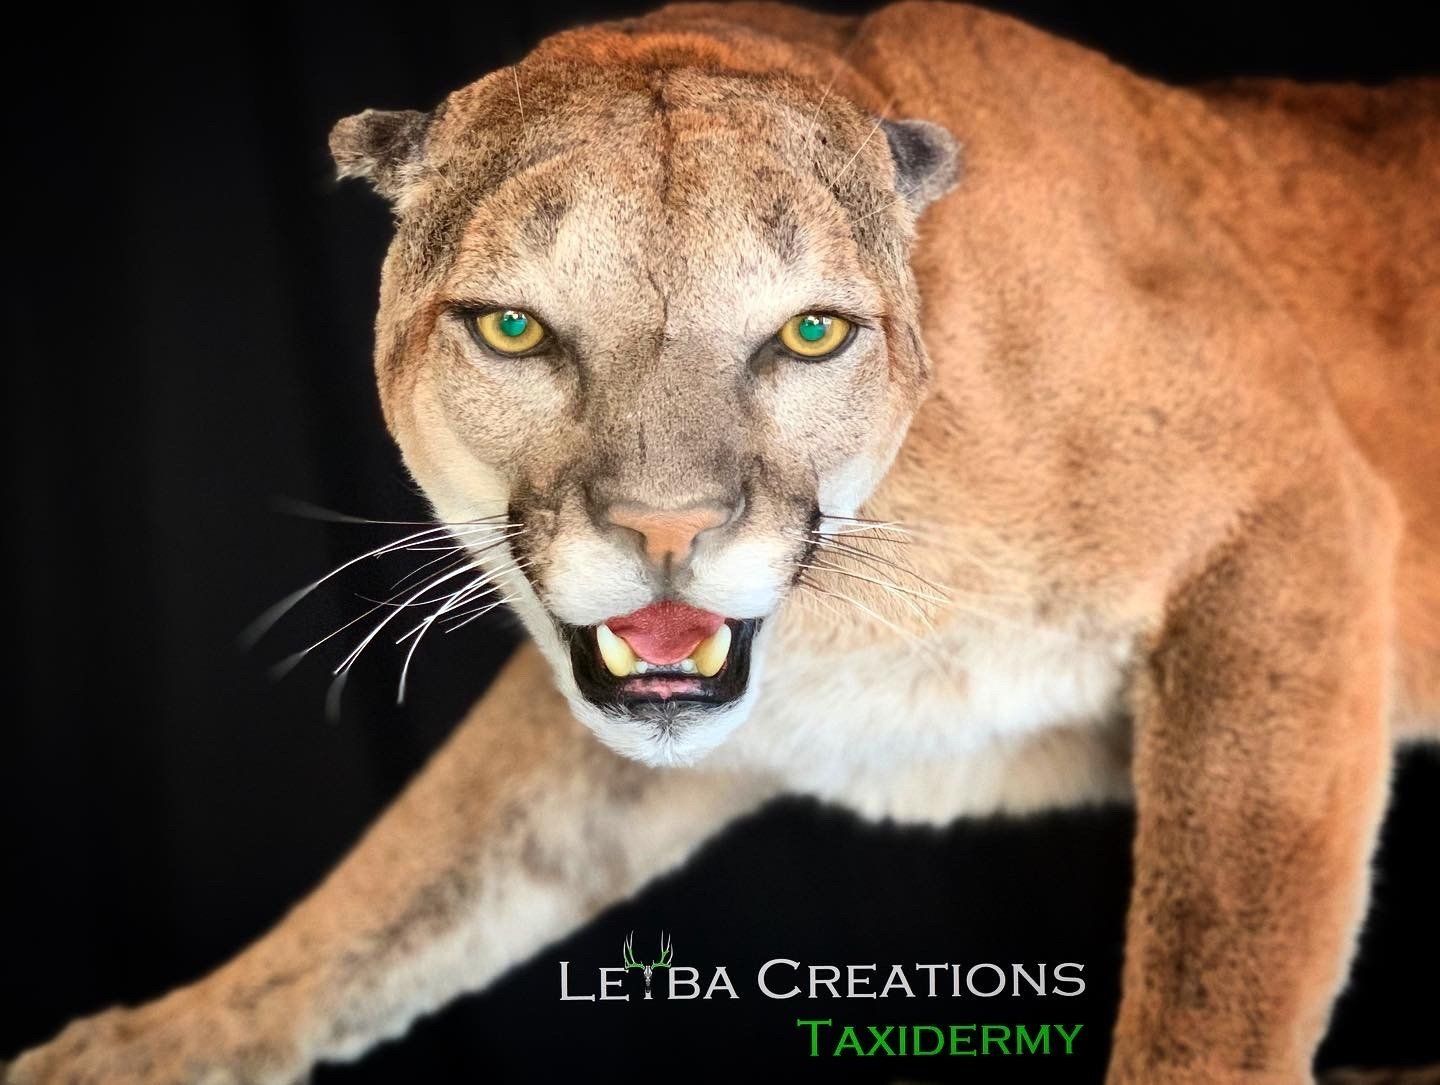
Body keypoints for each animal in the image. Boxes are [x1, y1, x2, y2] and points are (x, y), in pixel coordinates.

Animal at [8, 2, 1438, 1082]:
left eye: (811, 332)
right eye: (513, 327)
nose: (666, 526)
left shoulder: (1288, 530)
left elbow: (1216, 967)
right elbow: (416, 880)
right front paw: (138, 1051)